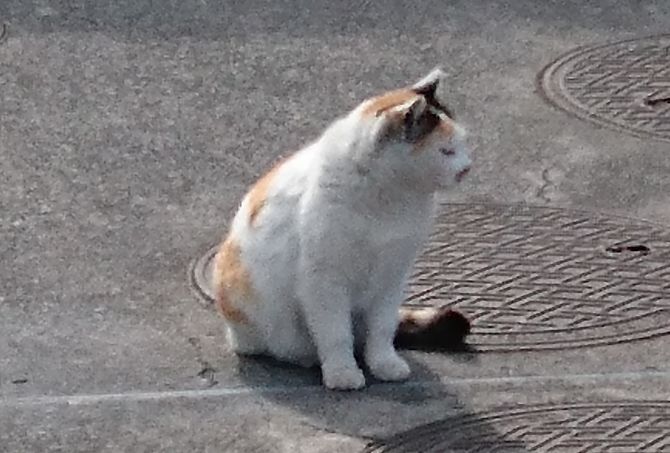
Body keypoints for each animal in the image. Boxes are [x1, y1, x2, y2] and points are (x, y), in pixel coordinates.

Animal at [214, 69, 472, 390]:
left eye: (462, 145)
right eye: (446, 151)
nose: (467, 168)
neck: (390, 198)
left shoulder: (393, 274)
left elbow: (382, 328)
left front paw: (384, 363)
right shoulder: (324, 280)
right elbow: (335, 333)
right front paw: (342, 372)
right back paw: (305, 355)